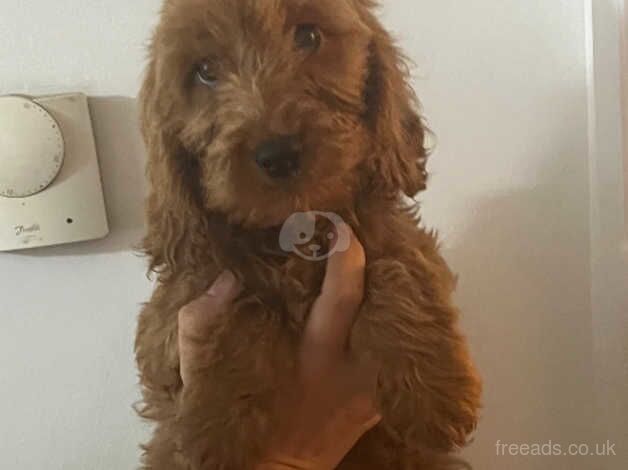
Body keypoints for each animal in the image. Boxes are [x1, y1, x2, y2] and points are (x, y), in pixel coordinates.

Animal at [136, 0, 480, 470]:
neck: (295, 229)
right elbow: (241, 303)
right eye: (204, 71)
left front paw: (435, 391)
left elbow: (396, 266)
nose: (278, 154)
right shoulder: (169, 320)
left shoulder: (398, 237)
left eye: (309, 37)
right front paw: (214, 430)